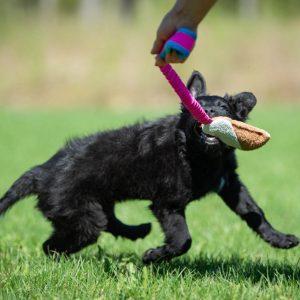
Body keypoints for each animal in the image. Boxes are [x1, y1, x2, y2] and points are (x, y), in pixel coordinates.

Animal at [0, 71, 298, 262]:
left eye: (224, 107)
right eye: (195, 106)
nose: (210, 113)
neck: (197, 154)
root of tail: (42, 171)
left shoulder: (230, 184)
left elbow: (255, 213)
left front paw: (280, 239)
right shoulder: (168, 204)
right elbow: (182, 240)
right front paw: (154, 256)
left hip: (94, 205)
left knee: (108, 223)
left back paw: (137, 231)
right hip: (83, 216)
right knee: (51, 245)